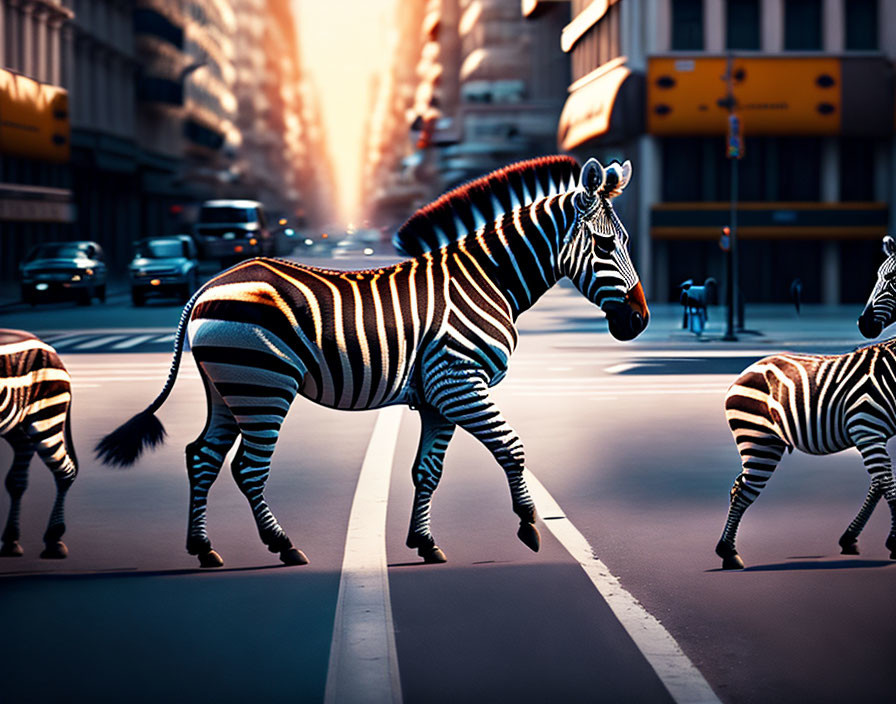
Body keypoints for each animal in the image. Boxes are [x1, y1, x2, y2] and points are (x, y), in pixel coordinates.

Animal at [0, 332, 78, 560]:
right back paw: (11, 541)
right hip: (17, 424)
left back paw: (54, 539)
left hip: (45, 418)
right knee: (17, 476)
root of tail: (49, 348)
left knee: (64, 471)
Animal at [96, 154, 652, 568]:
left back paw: (204, 549)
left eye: (627, 242)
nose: (640, 320)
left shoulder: (438, 397)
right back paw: (284, 546)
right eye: (605, 244)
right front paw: (528, 526)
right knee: (247, 468)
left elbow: (428, 471)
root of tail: (209, 284)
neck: (486, 277)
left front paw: (425, 543)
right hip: (262, 385)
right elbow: (512, 448)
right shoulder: (459, 382)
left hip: (228, 389)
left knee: (202, 457)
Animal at [716, 234, 896, 568]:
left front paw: (857, 538)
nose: (863, 324)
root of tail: (746, 370)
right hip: (757, 440)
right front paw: (892, 542)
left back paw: (727, 550)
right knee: (743, 490)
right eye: (880, 276)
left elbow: (879, 486)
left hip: (766, 443)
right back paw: (729, 553)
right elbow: (888, 486)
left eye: (890, 277)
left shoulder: (878, 435)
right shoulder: (868, 431)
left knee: (739, 486)